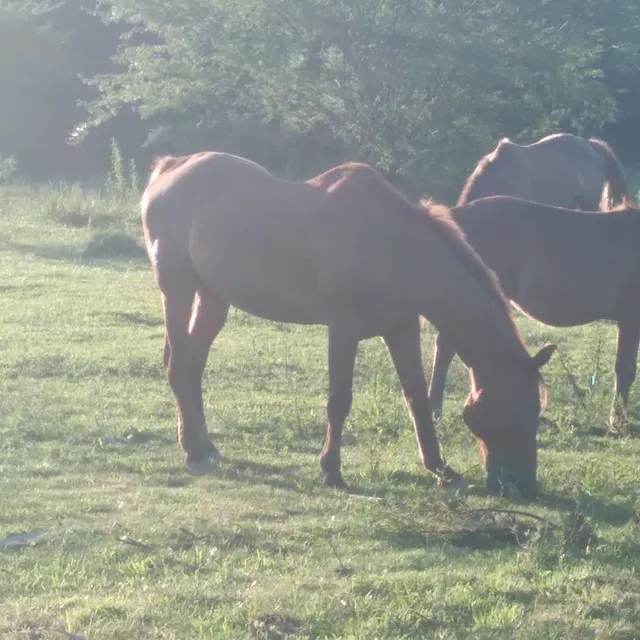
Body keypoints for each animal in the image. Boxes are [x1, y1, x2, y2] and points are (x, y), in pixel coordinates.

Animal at [140, 152, 556, 499]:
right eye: (517, 411)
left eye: (535, 411)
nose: (523, 485)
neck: (396, 248)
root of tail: (170, 167)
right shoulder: (342, 328)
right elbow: (339, 400)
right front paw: (331, 471)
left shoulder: (402, 329)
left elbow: (417, 397)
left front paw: (441, 469)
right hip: (178, 289)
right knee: (178, 365)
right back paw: (194, 451)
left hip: (213, 297)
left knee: (193, 367)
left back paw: (205, 445)